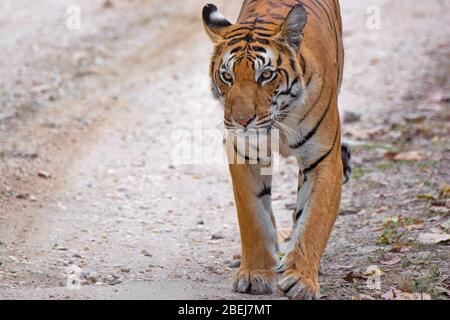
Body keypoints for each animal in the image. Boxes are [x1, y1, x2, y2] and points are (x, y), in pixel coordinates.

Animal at [202, 0, 350, 300]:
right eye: (227, 76)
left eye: (266, 75)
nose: (242, 121)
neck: (278, 119)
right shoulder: (244, 154)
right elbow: (254, 218)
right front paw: (255, 274)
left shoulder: (323, 159)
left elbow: (313, 219)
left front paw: (302, 280)